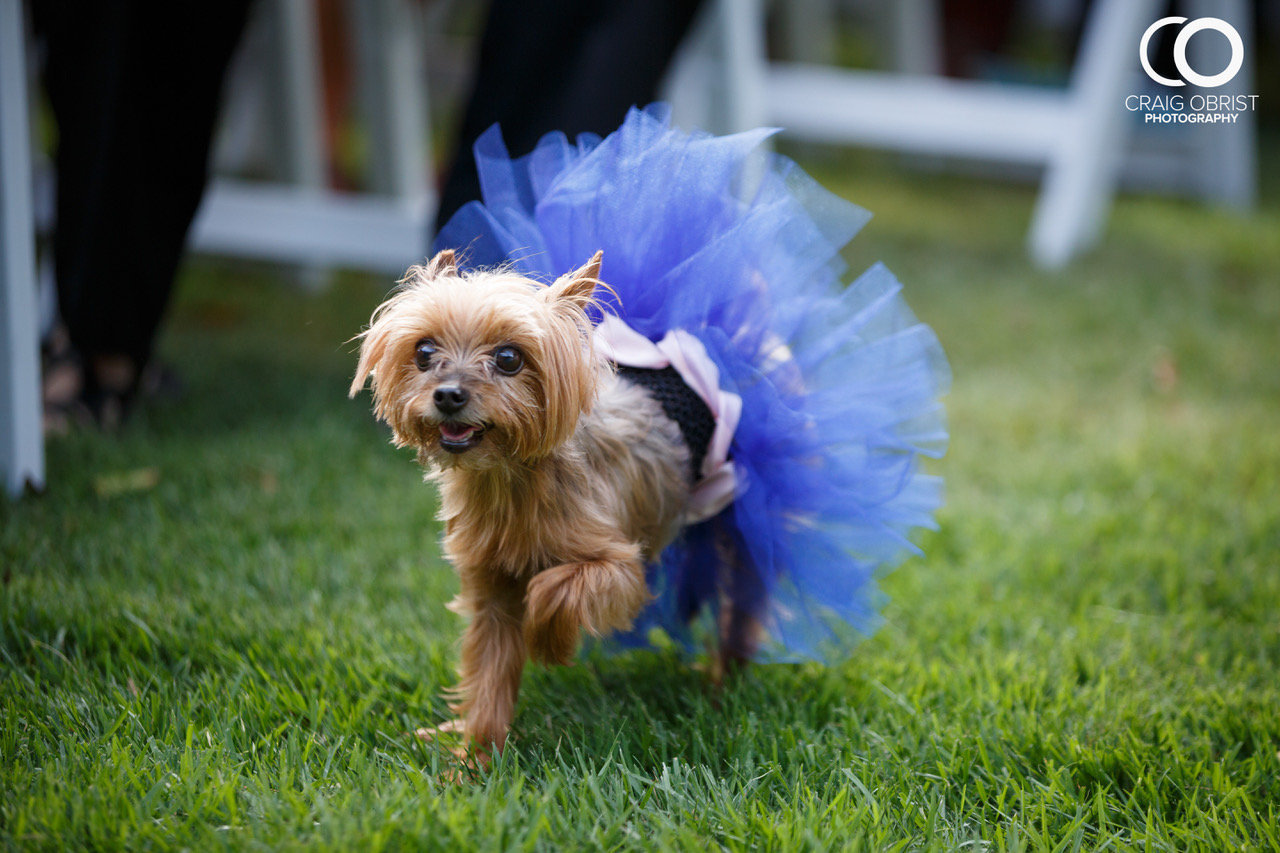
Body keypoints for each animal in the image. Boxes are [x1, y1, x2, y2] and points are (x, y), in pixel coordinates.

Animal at [348, 247, 721, 758]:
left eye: (509, 358)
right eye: (423, 352)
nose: (447, 395)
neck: (508, 478)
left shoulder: (620, 566)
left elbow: (553, 587)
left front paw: (551, 645)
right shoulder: (490, 588)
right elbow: (489, 672)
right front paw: (474, 758)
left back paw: (723, 681)